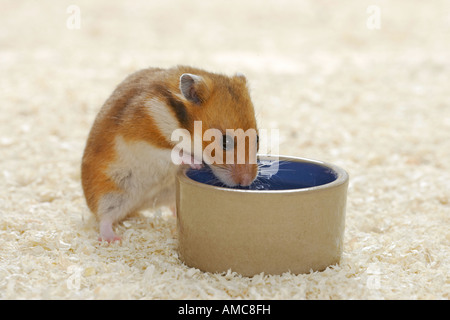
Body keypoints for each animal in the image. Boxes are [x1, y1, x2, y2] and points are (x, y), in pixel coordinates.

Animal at [80, 66, 256, 241]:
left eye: (257, 138)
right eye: (225, 141)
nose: (246, 182)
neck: (179, 124)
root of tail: (138, 205)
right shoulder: (143, 142)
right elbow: (173, 152)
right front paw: (197, 164)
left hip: (168, 192)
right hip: (109, 194)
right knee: (104, 218)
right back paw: (113, 239)